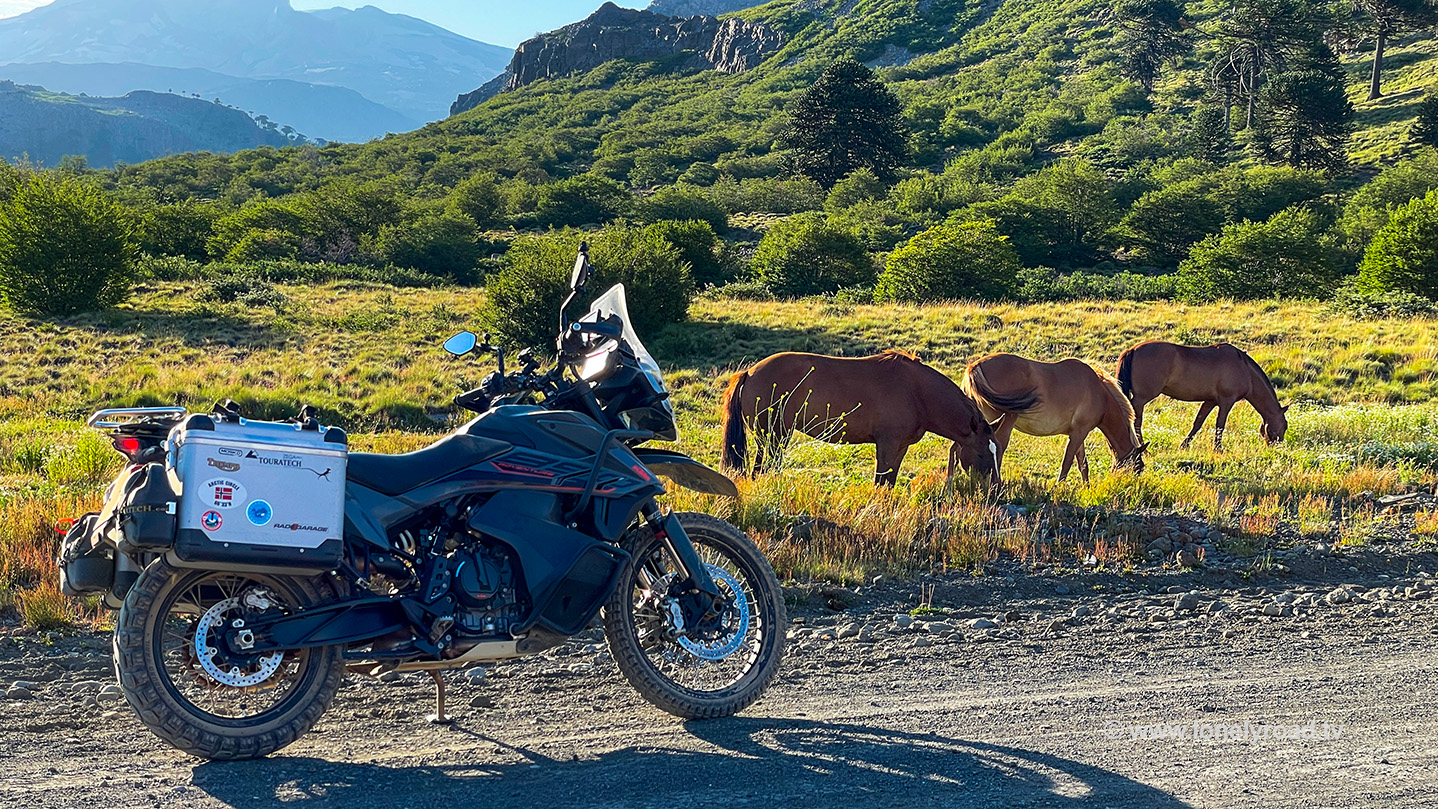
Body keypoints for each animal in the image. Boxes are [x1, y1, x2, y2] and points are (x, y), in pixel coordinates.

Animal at [719, 349, 1000, 488]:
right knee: (764, 468)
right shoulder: (886, 445)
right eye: (982, 452)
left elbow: (889, 481)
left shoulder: (899, 448)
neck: (917, 392)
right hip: (775, 437)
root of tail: (750, 372)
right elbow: (881, 481)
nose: (996, 487)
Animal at [960, 353, 1150, 479]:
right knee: (998, 446)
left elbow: (1083, 464)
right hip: (1004, 421)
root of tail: (974, 367)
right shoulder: (1079, 433)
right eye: (1137, 469)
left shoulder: (1077, 434)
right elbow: (1067, 463)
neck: (1099, 393)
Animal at [1110, 340, 1294, 454]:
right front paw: (1218, 448)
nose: (1276, 447)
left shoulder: (1210, 401)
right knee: (1136, 420)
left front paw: (1184, 445)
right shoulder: (1226, 402)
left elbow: (1198, 423)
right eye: (1284, 426)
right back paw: (1144, 449)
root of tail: (1132, 349)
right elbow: (1220, 425)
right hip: (1141, 398)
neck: (1245, 369)